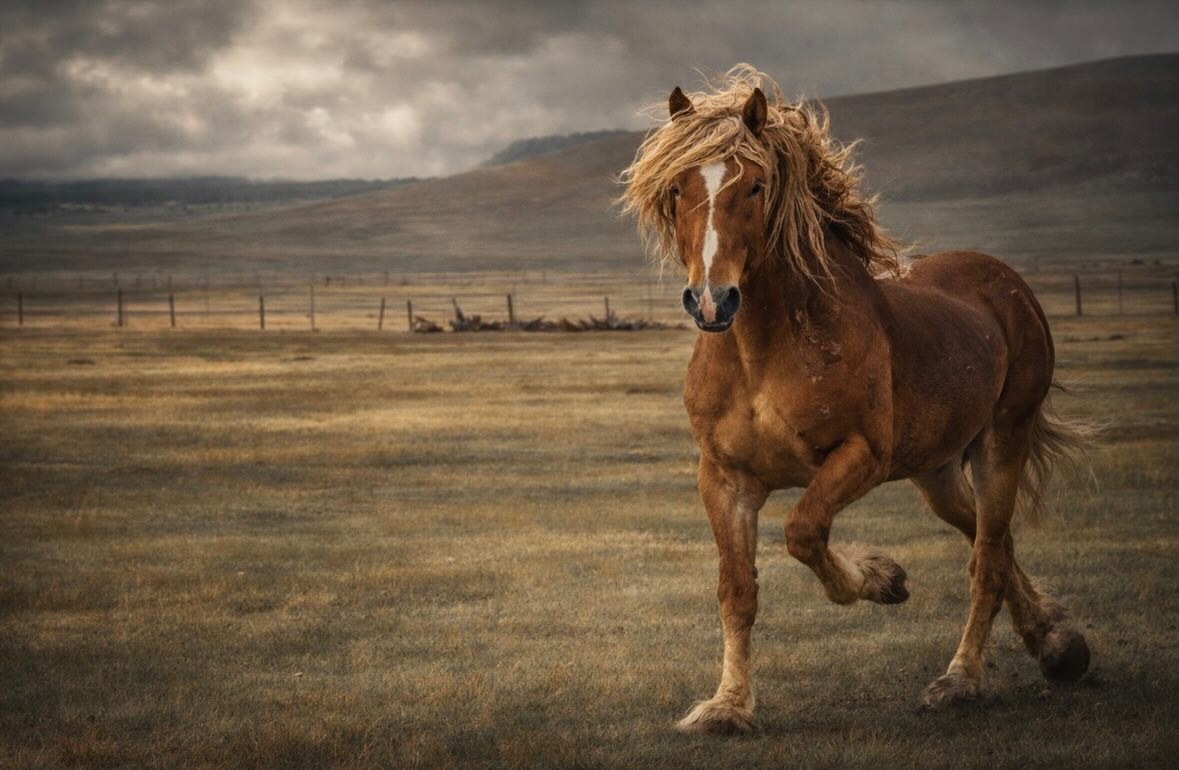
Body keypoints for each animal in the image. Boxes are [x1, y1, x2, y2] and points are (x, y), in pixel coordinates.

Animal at [619, 66, 1091, 734]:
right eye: (679, 188)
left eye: (756, 186)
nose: (712, 300)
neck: (765, 349)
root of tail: (1010, 285)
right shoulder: (725, 479)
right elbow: (737, 591)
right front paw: (727, 706)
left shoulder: (860, 456)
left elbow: (804, 532)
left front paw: (881, 578)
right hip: (937, 471)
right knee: (990, 539)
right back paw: (1058, 645)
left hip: (1003, 442)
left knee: (988, 562)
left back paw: (961, 680)